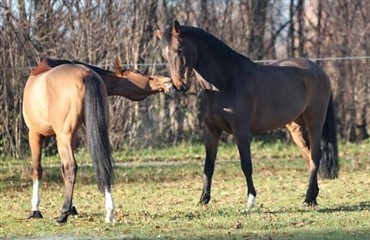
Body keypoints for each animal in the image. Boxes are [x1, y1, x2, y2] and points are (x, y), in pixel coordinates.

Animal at [23, 57, 172, 223]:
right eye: (138, 72)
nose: (167, 81)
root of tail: (86, 75)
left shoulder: (35, 134)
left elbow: (37, 170)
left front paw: (35, 209)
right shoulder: (69, 137)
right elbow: (61, 170)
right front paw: (72, 207)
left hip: (62, 135)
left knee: (71, 166)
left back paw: (63, 214)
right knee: (103, 166)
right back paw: (109, 213)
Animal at [155, 21, 340, 210]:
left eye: (179, 50)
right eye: (164, 54)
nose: (179, 86)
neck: (226, 82)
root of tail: (319, 71)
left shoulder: (241, 130)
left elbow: (246, 164)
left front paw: (251, 200)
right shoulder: (211, 131)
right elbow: (208, 166)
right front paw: (203, 199)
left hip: (314, 121)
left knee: (316, 155)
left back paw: (309, 198)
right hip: (297, 127)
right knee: (309, 156)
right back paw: (313, 197)